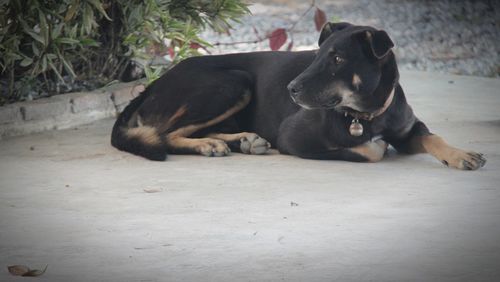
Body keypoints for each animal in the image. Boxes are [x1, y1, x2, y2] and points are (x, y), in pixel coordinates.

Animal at [110, 21, 484, 170]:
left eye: (337, 59)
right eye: (317, 55)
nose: (291, 89)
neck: (368, 112)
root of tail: (152, 85)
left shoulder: (407, 129)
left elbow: (433, 137)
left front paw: (460, 155)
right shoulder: (294, 138)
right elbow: (371, 150)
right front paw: (375, 145)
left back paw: (241, 140)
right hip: (232, 82)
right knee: (165, 134)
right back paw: (209, 145)